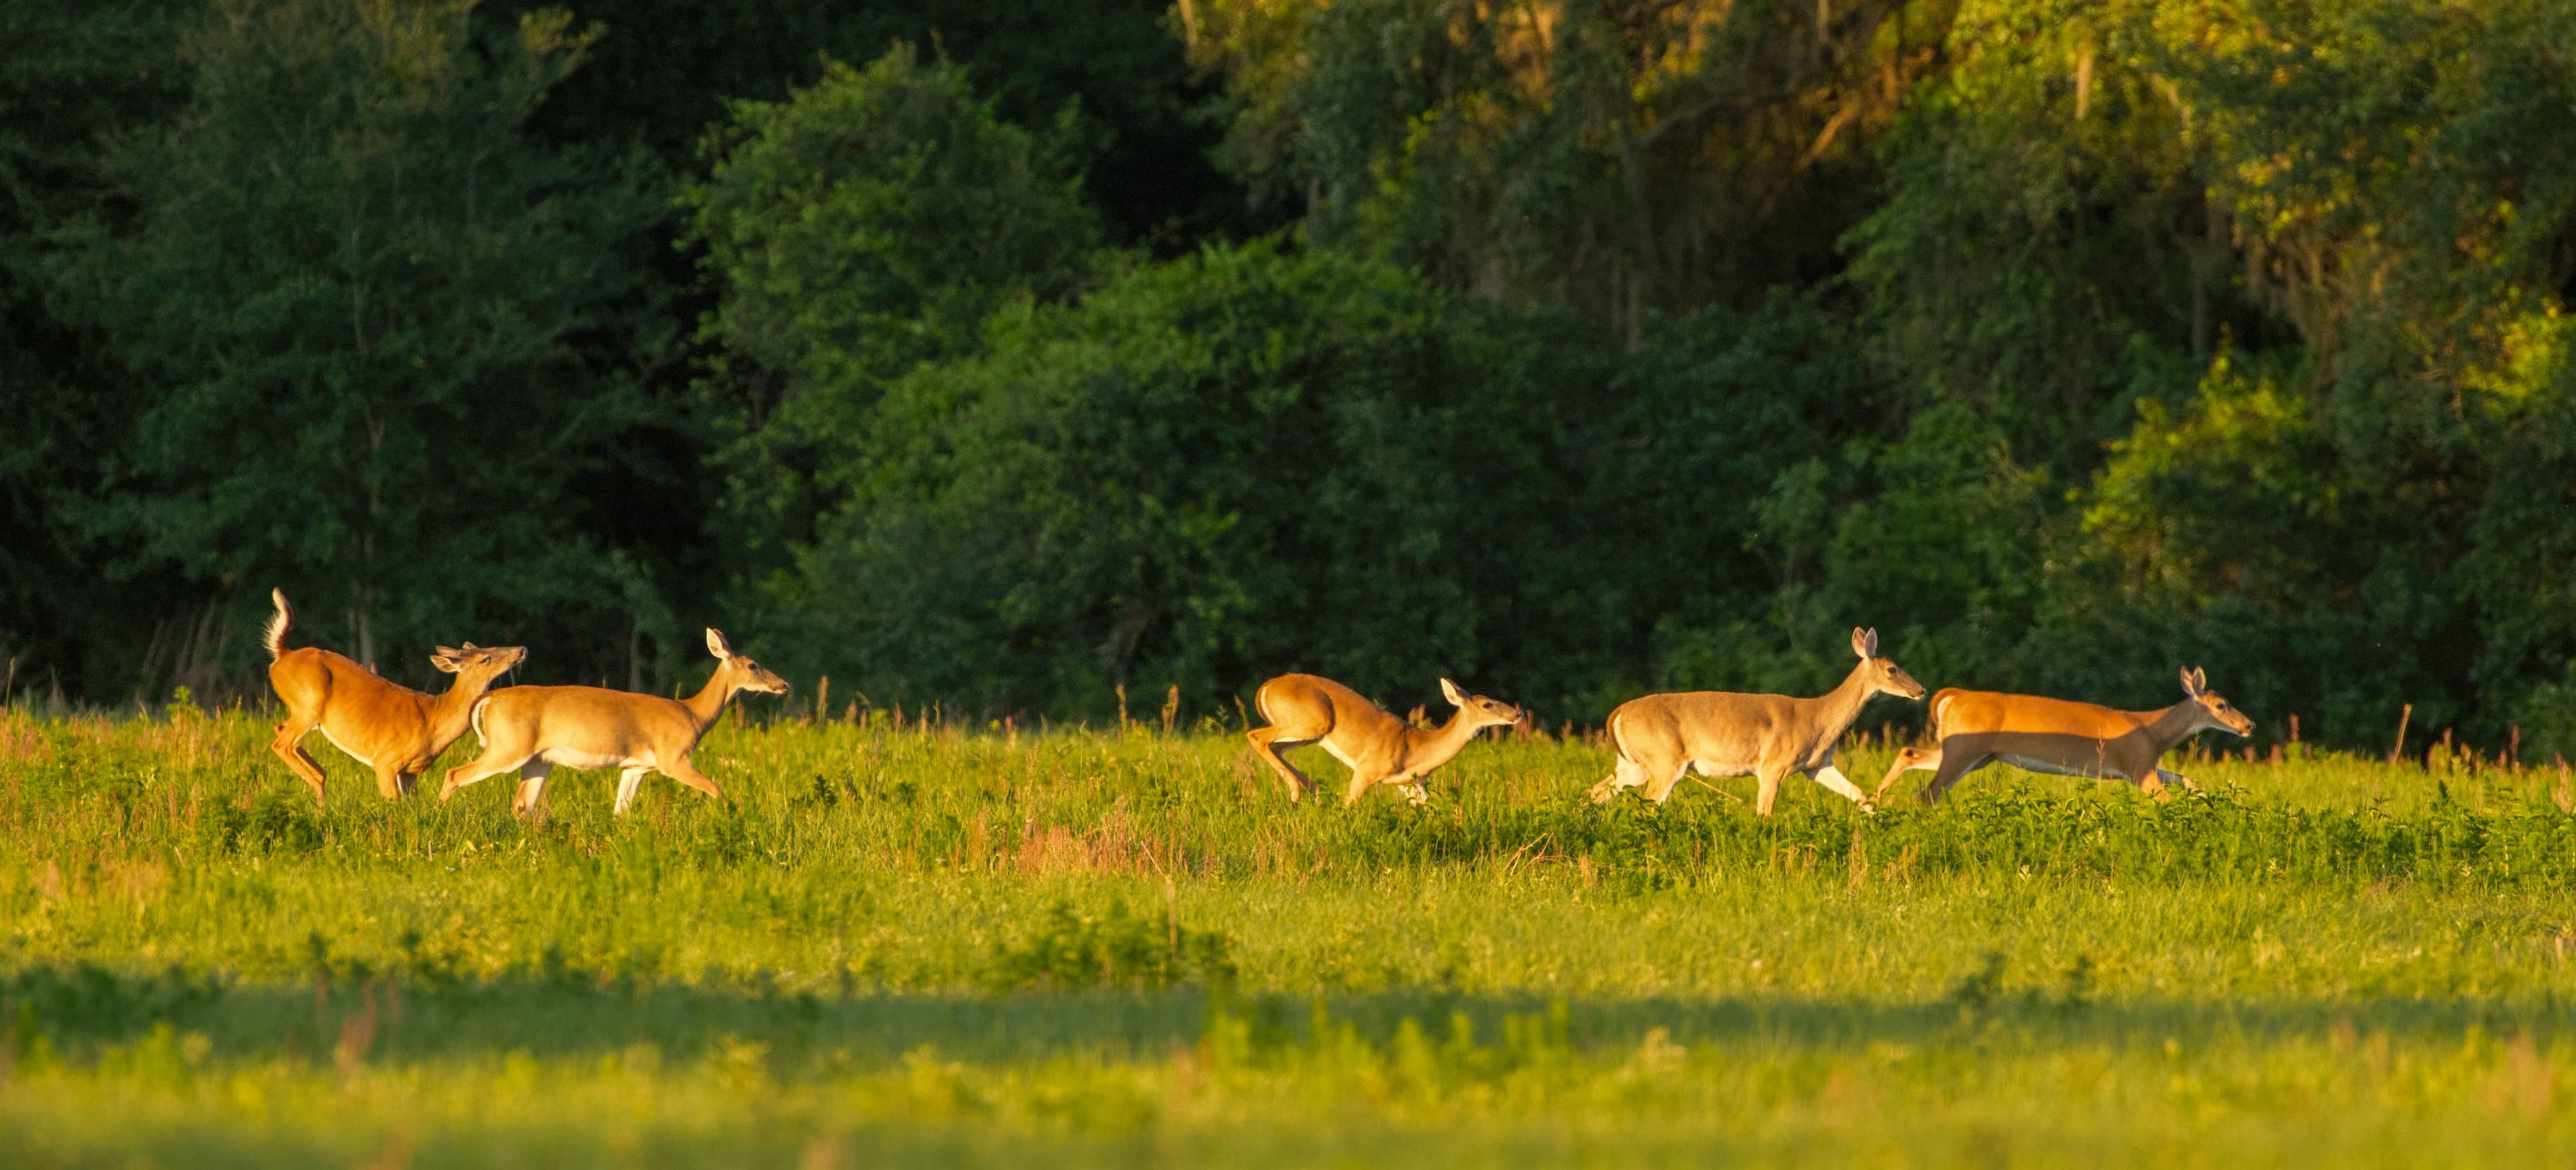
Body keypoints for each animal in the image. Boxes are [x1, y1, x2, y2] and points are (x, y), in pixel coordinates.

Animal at [260, 590, 523, 798]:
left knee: (280, 729)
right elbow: (392, 804)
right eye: (485, 658)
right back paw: (318, 784)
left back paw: (320, 776)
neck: (434, 719)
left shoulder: (410, 772)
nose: (521, 649)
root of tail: (282, 655)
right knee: (281, 744)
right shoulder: (386, 761)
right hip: (309, 705)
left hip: (306, 713)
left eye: (489, 647)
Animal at [440, 631, 783, 814]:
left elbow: (621, 810)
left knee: (522, 804)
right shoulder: (673, 757)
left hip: (538, 759)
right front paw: (731, 816)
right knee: (455, 773)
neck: (694, 714)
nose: (783, 685)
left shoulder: (637, 766)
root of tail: (489, 699)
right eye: (753, 665)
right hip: (509, 747)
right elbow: (717, 790)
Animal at [1246, 675, 1525, 804]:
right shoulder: (1367, 769)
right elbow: (1350, 805)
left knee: (1276, 747)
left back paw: (1311, 789)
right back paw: (1298, 791)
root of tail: (1265, 687)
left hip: (1308, 733)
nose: (1518, 714)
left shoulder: (1410, 784)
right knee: (1256, 736)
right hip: (1313, 722)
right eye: (1487, 704)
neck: (1417, 749)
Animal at [1576, 631, 1927, 814]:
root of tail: (1616, 715)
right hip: (1665, 759)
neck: (1820, 718)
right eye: (1893, 669)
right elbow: (1764, 814)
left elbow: (1859, 794)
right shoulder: (1774, 765)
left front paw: (1879, 820)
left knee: (1594, 792)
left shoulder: (1817, 765)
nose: (1921, 690)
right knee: (1649, 803)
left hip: (1633, 765)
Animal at [1875, 665, 2256, 804]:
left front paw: (2207, 802)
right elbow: (2165, 799)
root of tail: (1954, 697)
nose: (2249, 725)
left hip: (1975, 755)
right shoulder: (2137, 764)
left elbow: (2187, 779)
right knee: (1928, 793)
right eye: (2221, 705)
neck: (2154, 732)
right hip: (1964, 750)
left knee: (1910, 755)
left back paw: (1875, 801)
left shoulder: (2145, 763)